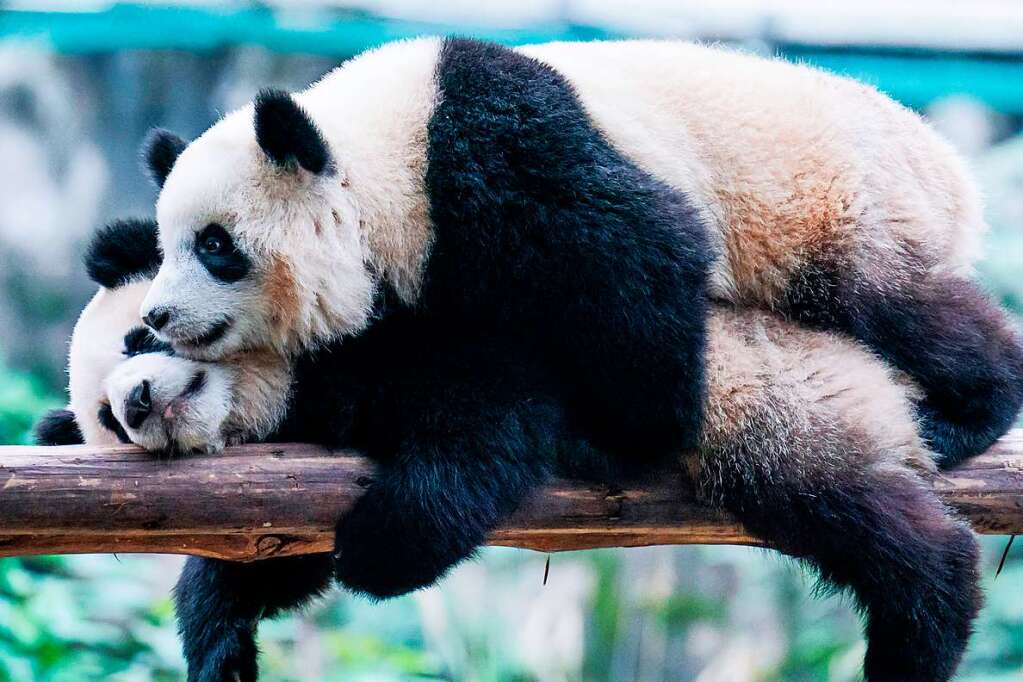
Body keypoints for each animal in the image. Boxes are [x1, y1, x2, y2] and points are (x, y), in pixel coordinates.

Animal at [37, 218, 982, 682]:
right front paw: (222, 646)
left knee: (864, 520)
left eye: (138, 337)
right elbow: (273, 550)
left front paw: (380, 551)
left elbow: (487, 420)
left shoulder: (411, 330)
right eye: (106, 423)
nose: (139, 403)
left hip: (774, 401)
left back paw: (923, 627)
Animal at [138, 36, 1023, 470]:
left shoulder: (493, 153)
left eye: (215, 246)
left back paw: (969, 410)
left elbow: (646, 256)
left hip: (839, 204)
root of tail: (947, 164)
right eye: (165, 245)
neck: (371, 154)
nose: (156, 316)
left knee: (898, 307)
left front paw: (628, 440)